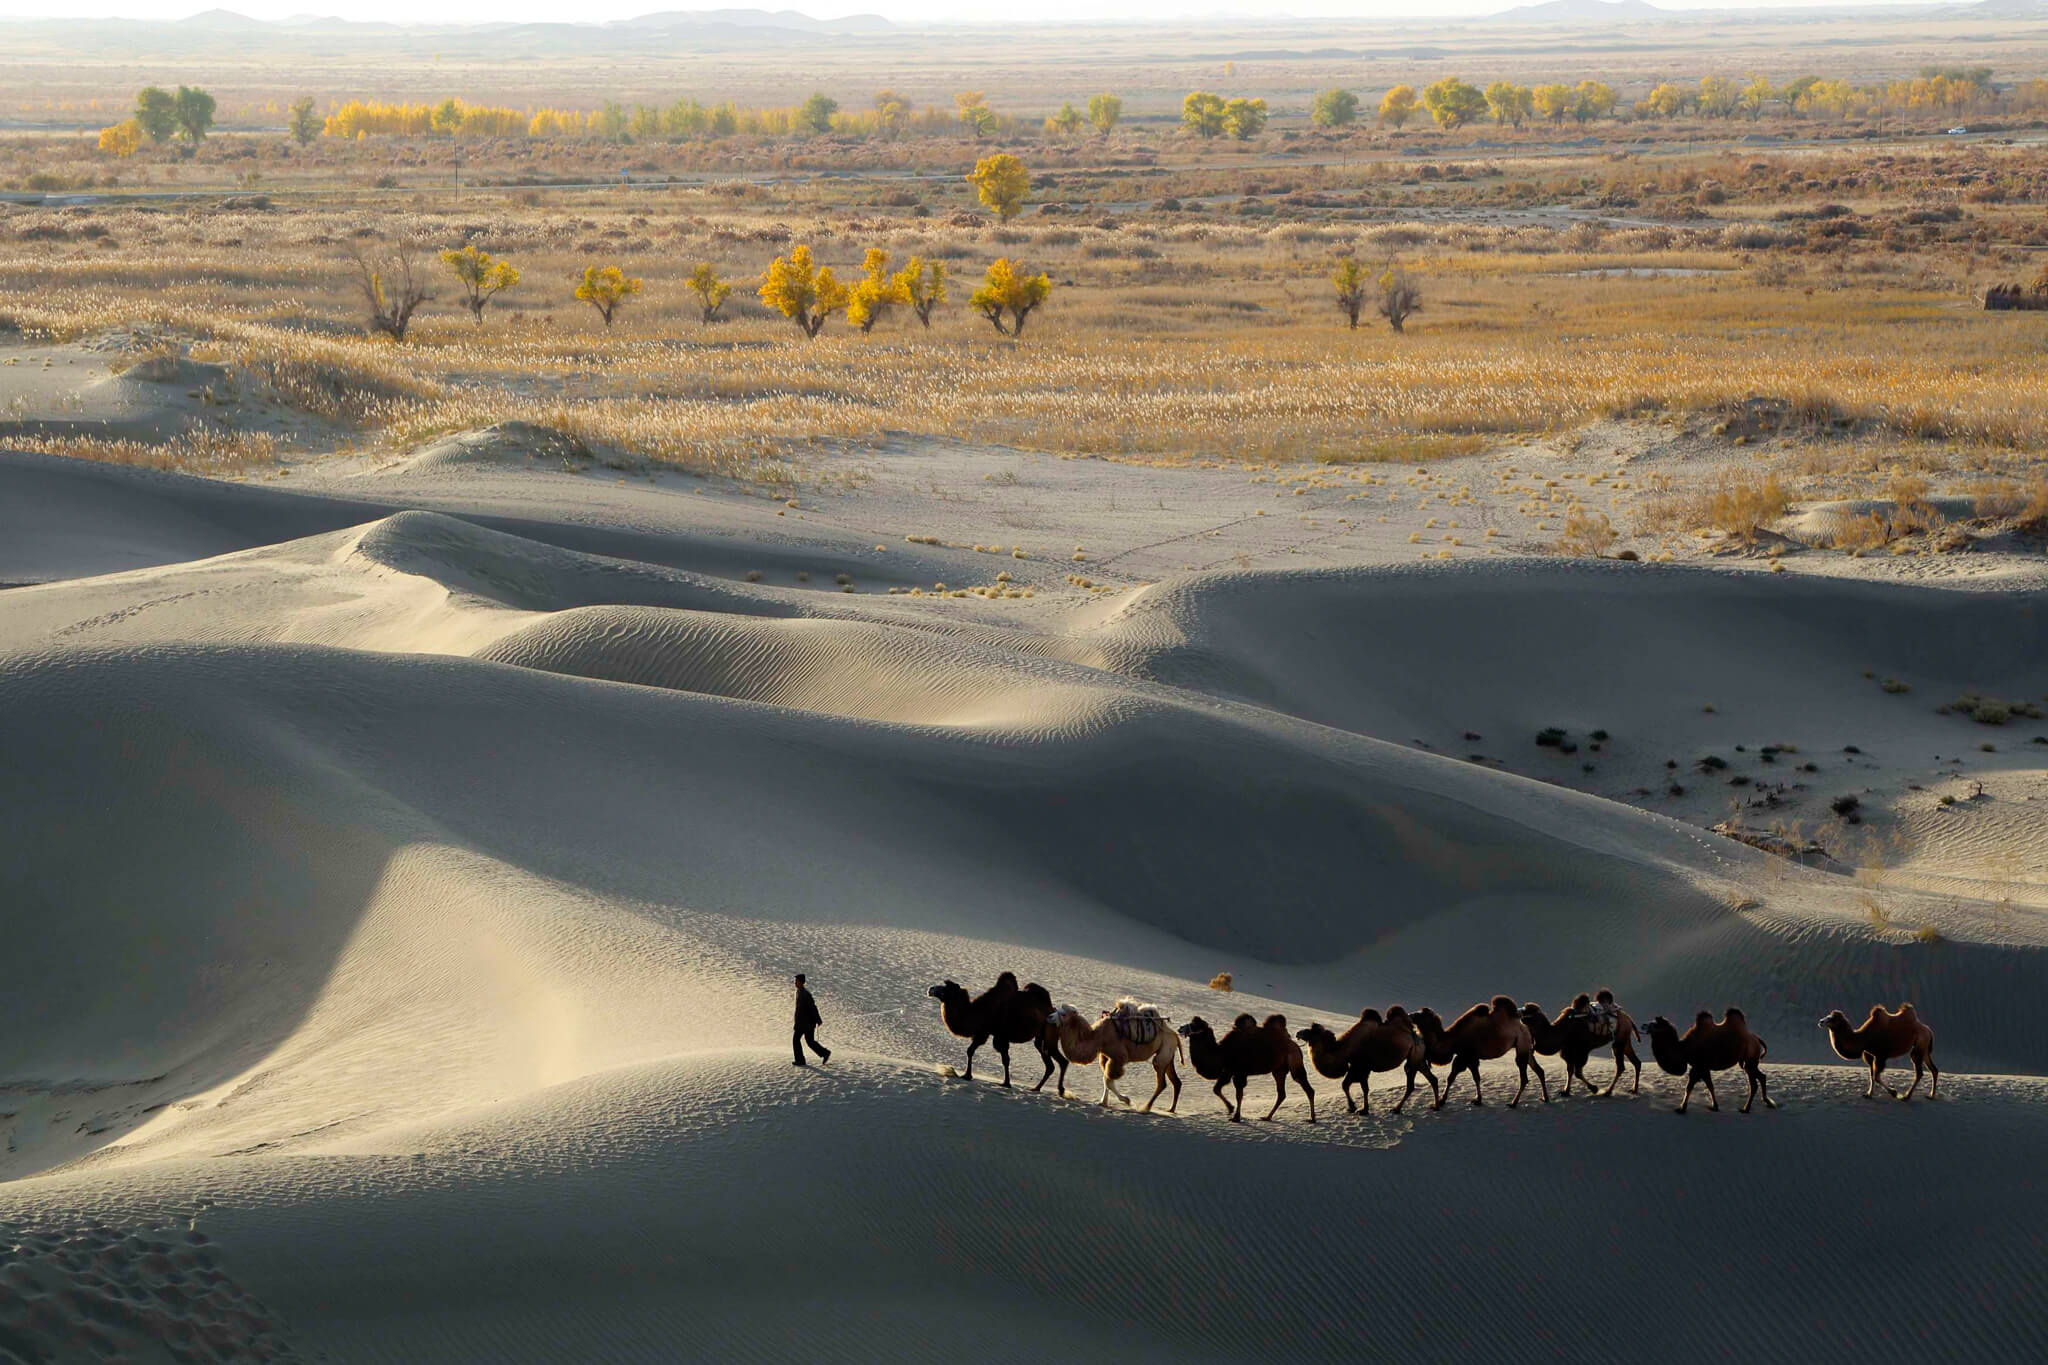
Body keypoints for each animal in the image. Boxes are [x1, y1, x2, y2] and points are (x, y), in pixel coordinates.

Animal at [925, 965, 1064, 1096]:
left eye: (946, 988)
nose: (930, 989)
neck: (979, 1012)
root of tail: (1052, 1009)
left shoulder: (1000, 1036)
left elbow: (1005, 1060)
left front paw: (1006, 1083)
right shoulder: (983, 1032)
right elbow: (970, 1051)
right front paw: (967, 1075)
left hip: (1049, 1032)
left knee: (1059, 1060)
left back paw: (1059, 1090)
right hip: (1040, 1038)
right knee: (1049, 1064)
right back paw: (1037, 1088)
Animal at [1056, 998, 1187, 1113]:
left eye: (1063, 1014)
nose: (1051, 1017)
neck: (1098, 1037)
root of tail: (1175, 1035)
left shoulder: (1118, 1057)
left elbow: (1108, 1081)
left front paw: (1126, 1100)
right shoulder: (1105, 1056)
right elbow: (1106, 1079)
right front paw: (1103, 1102)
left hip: (1163, 1054)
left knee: (1162, 1082)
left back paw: (1145, 1108)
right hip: (1168, 1056)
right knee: (1176, 1081)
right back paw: (1171, 1109)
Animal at [1179, 1010, 1318, 1129]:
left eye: (1195, 1026)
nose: (1180, 1028)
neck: (1221, 1053)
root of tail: (1296, 1046)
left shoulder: (1239, 1073)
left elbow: (1238, 1095)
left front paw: (1236, 1117)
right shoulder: (1229, 1071)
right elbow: (1216, 1089)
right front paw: (1230, 1108)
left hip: (1294, 1064)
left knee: (1307, 1088)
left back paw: (1312, 1119)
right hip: (1279, 1070)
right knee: (1281, 1093)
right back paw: (1267, 1117)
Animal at [1294, 1010, 1441, 1113]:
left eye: (1312, 1031)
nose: (1298, 1033)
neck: (1344, 1050)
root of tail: (1420, 1038)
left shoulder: (1360, 1067)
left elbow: (1353, 1086)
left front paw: (1360, 1109)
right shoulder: (1357, 1068)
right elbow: (1351, 1086)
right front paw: (1355, 1108)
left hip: (1413, 1059)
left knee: (1411, 1084)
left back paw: (1396, 1109)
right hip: (1419, 1059)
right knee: (1432, 1079)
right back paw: (1435, 1106)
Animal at [1646, 1010, 1777, 1113]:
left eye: (1654, 1024)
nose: (1643, 1025)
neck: (1685, 1049)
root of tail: (1756, 1038)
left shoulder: (1699, 1066)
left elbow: (1690, 1087)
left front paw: (1681, 1108)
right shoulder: (1703, 1067)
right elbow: (1710, 1086)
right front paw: (1714, 1106)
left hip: (1750, 1059)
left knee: (1754, 1084)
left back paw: (1746, 1109)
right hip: (1748, 1062)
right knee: (1761, 1076)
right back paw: (1768, 1103)